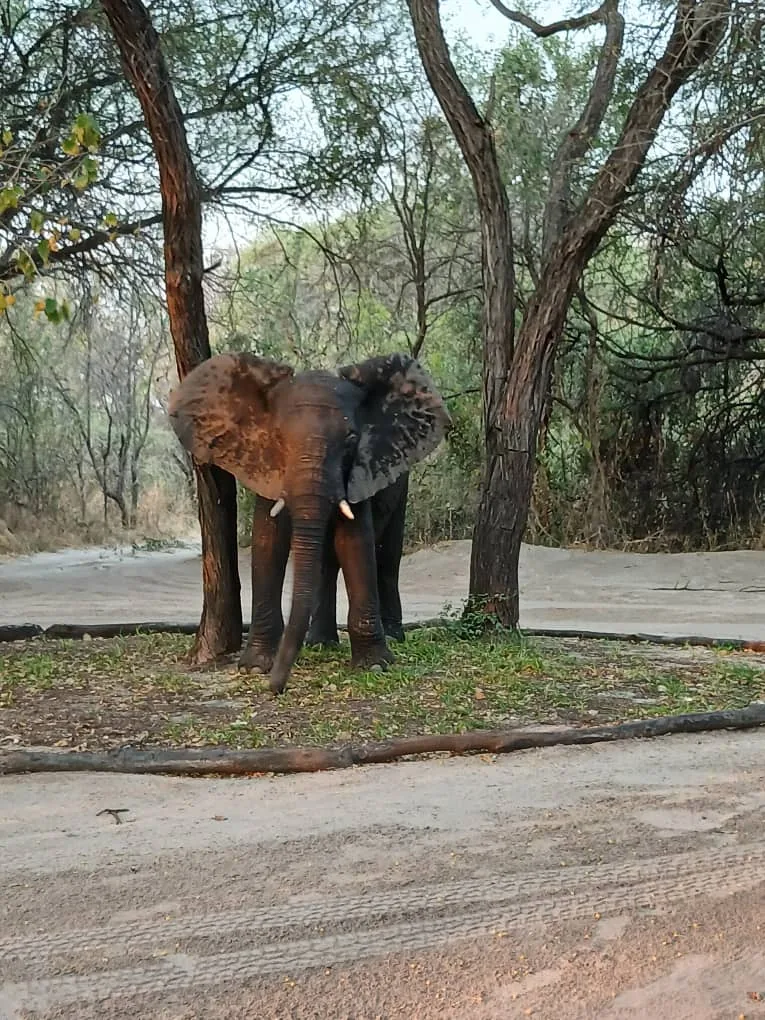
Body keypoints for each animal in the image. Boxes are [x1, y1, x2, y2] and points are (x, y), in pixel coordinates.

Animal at [169, 351, 450, 694]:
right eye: (277, 437)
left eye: (351, 440)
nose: (277, 688)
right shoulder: (266, 466)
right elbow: (268, 541)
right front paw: (254, 667)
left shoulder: (358, 473)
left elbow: (355, 543)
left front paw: (375, 665)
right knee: (327, 563)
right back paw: (321, 643)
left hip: (401, 487)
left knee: (386, 557)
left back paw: (393, 636)